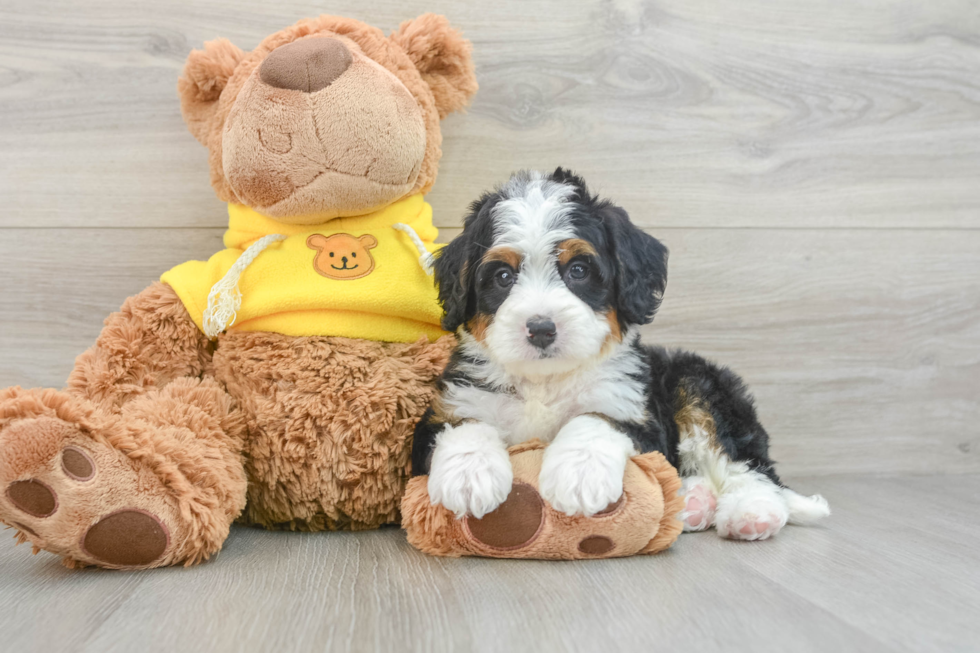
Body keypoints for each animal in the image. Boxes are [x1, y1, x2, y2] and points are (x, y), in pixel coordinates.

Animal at [410, 168, 832, 540]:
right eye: (502, 277)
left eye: (579, 270)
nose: (542, 328)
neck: (545, 381)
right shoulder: (452, 405)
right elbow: (464, 425)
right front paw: (469, 477)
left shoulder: (637, 414)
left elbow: (595, 418)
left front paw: (579, 474)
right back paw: (693, 503)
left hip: (699, 384)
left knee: (745, 464)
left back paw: (753, 513)